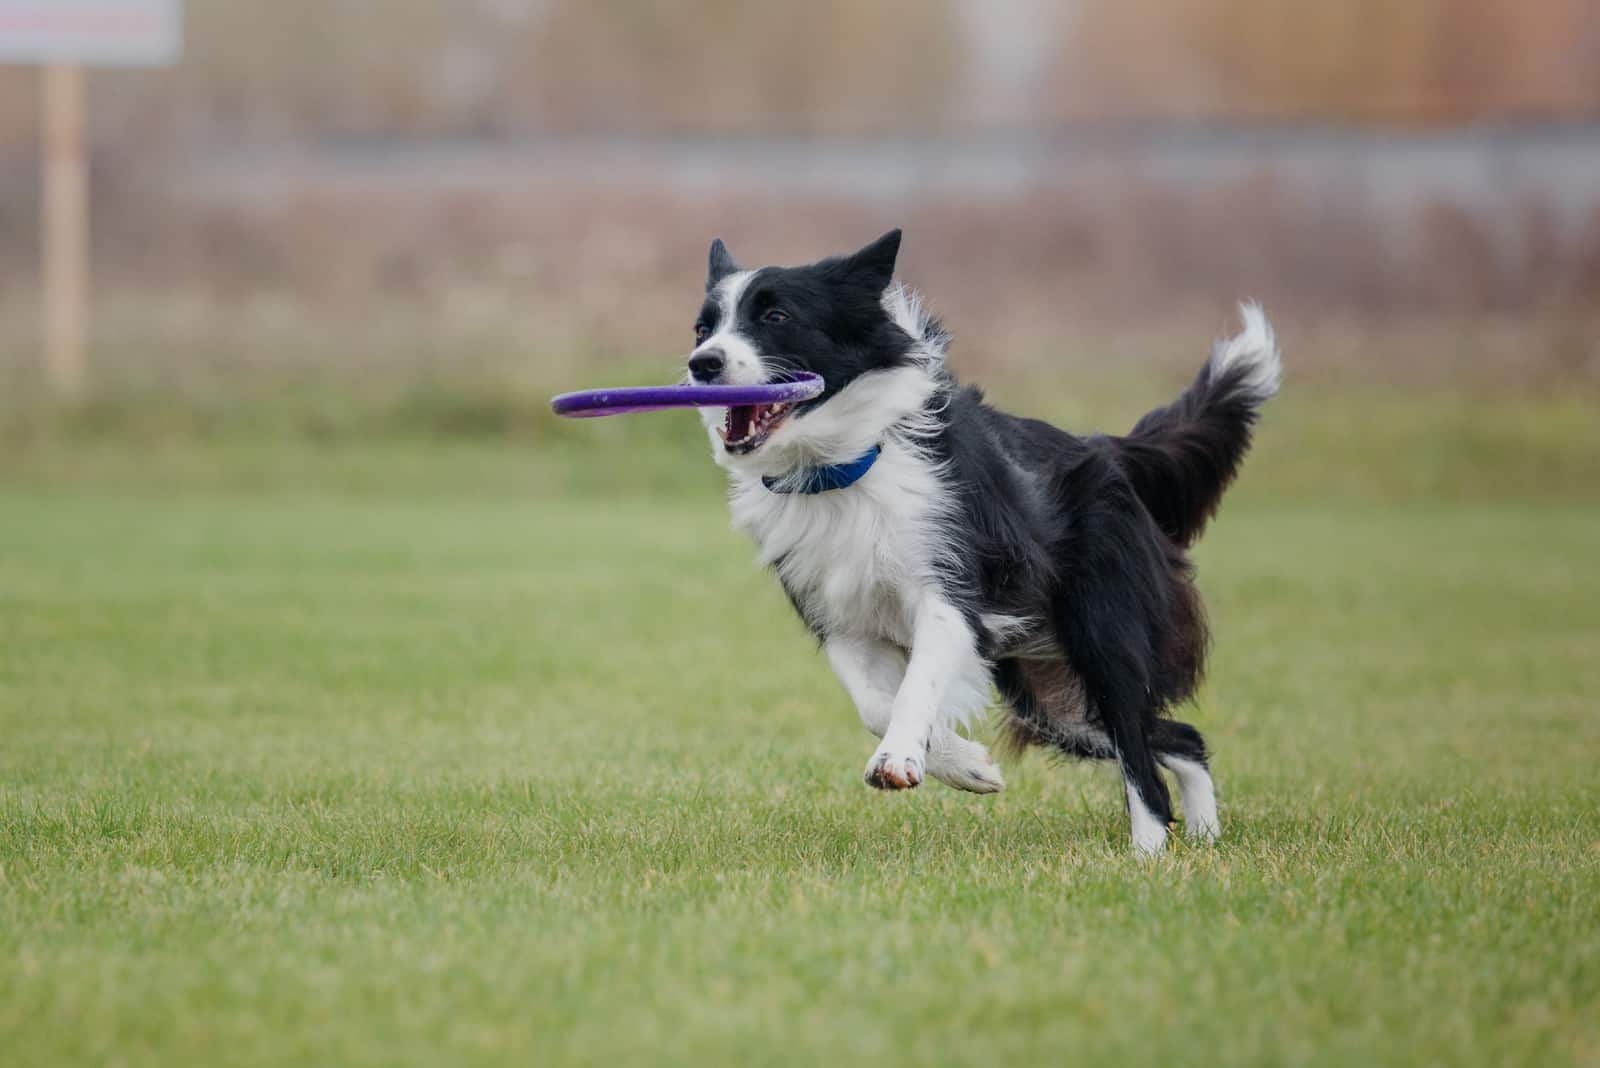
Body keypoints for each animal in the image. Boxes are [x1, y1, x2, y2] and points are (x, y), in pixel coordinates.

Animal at [684, 231, 1273, 850]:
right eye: (703, 328)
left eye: (777, 316)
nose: (703, 364)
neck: (845, 466)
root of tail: (1107, 448)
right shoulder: (840, 618)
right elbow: (875, 702)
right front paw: (966, 765)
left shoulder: (951, 592)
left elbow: (915, 684)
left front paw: (899, 759)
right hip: (1053, 697)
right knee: (1180, 736)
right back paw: (1205, 839)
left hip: (1102, 633)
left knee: (1141, 756)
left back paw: (1150, 851)